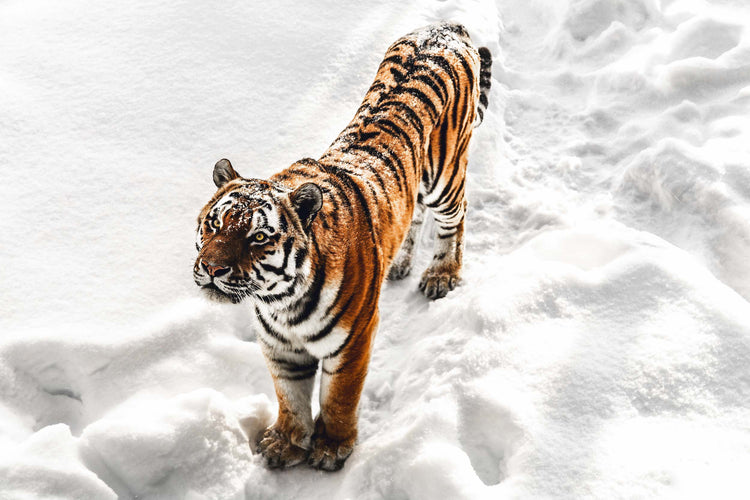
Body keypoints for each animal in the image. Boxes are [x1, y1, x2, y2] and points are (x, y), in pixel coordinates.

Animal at [193, 22, 492, 471]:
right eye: (214, 225)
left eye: (258, 237)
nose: (212, 269)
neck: (280, 301)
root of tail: (446, 27)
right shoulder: (280, 350)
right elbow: (290, 397)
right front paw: (285, 443)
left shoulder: (352, 342)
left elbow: (338, 397)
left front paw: (332, 448)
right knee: (415, 213)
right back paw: (399, 264)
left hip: (446, 177)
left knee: (454, 219)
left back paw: (441, 275)